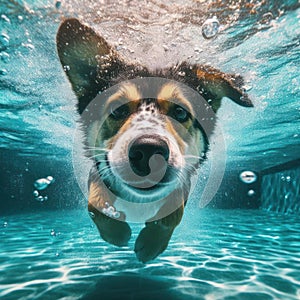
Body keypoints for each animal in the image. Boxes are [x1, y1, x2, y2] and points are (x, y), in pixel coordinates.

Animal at [56, 18, 253, 262]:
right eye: (117, 109)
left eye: (180, 112)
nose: (148, 151)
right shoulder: (98, 171)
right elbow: (96, 204)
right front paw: (118, 234)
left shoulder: (183, 180)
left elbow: (173, 212)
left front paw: (151, 244)